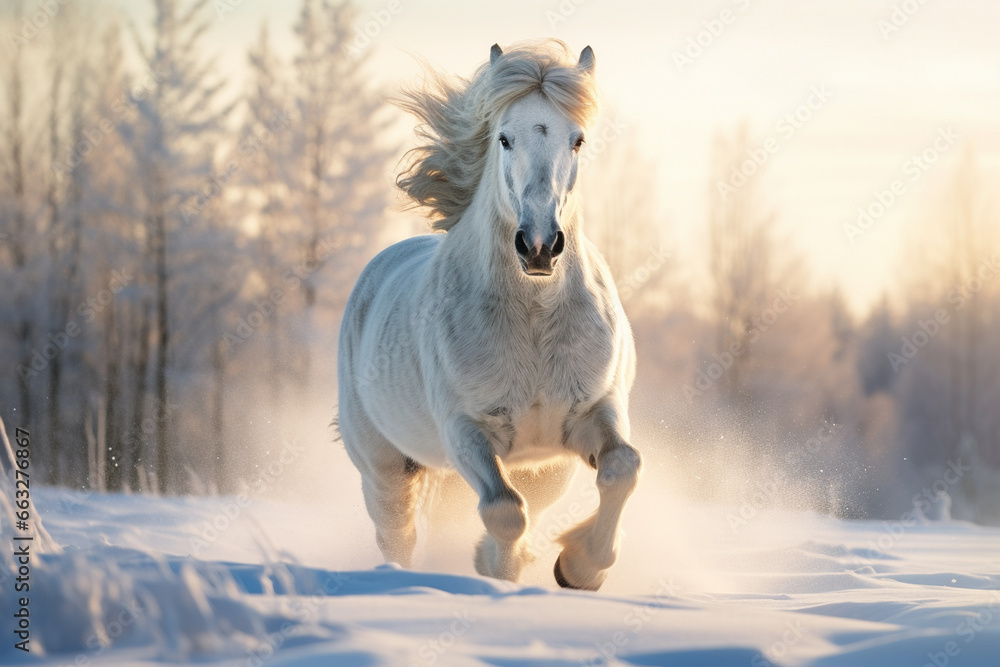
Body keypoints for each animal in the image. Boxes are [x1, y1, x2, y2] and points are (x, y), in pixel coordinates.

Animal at [338, 40, 640, 588]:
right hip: (384, 466)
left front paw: (580, 569)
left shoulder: (596, 410)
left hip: (546, 467)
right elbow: (503, 509)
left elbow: (622, 467)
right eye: (504, 138)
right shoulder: (466, 431)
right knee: (397, 533)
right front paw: (499, 577)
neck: (535, 320)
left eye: (578, 140)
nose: (539, 246)